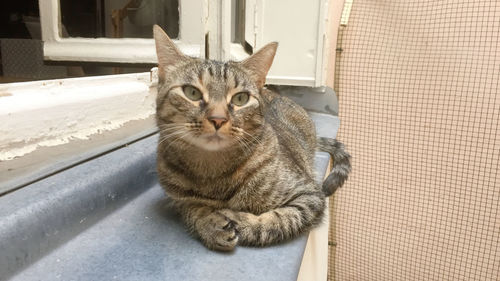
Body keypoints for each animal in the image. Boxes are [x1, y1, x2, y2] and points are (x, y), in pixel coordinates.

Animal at [153, 25, 352, 249]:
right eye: (192, 92)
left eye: (241, 98)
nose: (218, 119)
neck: (212, 172)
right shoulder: (178, 200)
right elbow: (192, 210)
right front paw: (210, 222)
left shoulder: (309, 196)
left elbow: (276, 221)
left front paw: (237, 218)